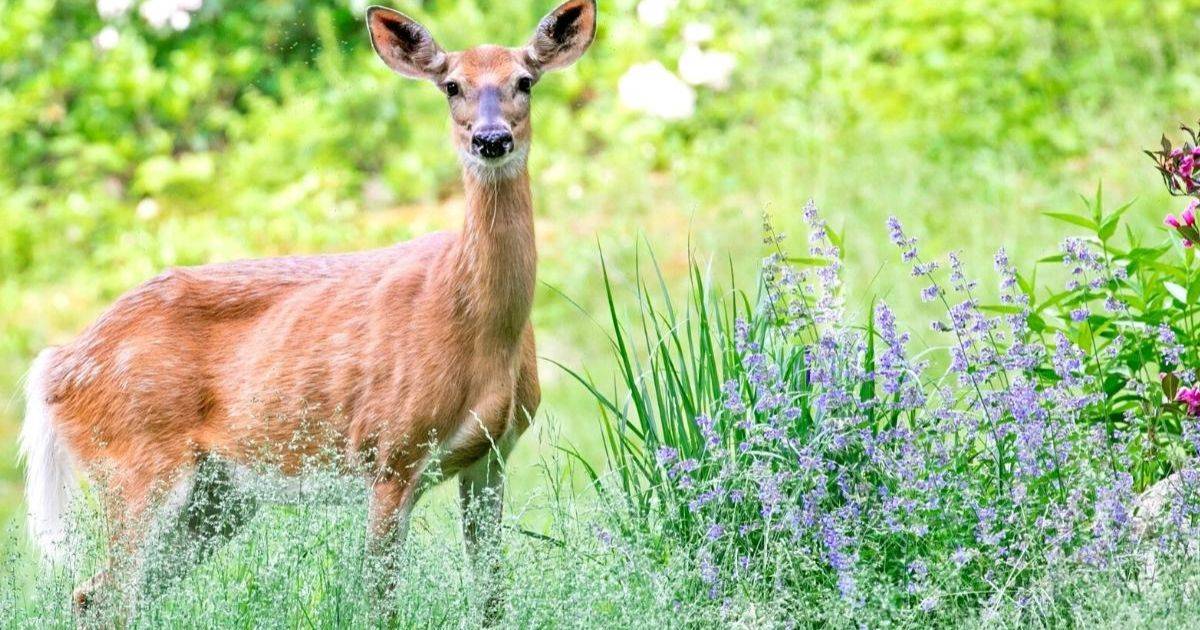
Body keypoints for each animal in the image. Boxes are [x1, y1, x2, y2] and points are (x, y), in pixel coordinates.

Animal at [18, 0, 596, 619]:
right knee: (110, 594)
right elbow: (380, 603)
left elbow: (491, 597)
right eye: (451, 86)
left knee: (95, 593)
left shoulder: (493, 457)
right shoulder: (390, 451)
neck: (482, 329)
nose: (491, 139)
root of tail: (55, 365)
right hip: (134, 463)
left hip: (216, 496)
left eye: (525, 81)